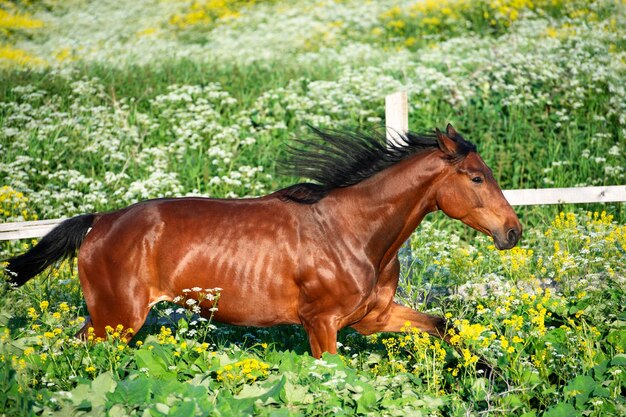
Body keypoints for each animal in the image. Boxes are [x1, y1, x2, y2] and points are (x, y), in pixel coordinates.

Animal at [7, 124, 520, 358]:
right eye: (477, 177)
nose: (513, 231)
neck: (352, 231)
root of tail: (100, 221)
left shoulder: (371, 319)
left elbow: (444, 325)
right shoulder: (321, 324)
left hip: (108, 319)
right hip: (117, 318)